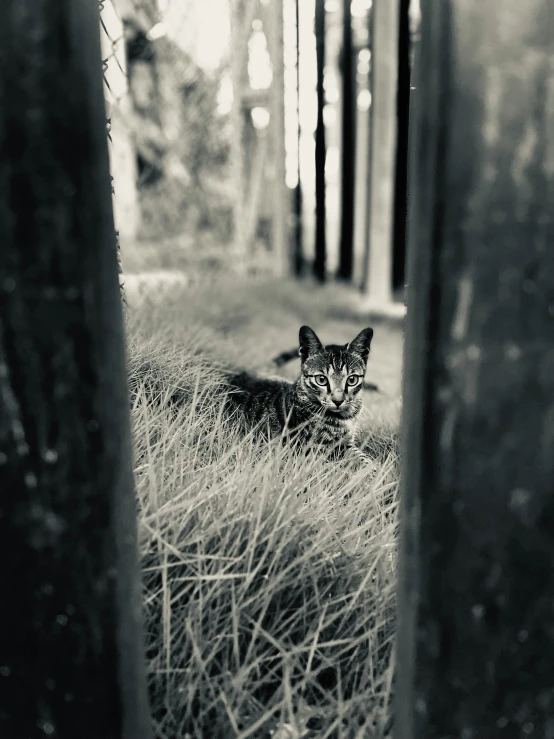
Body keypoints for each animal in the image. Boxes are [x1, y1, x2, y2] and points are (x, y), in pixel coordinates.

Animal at [222, 326, 374, 462]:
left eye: (352, 380)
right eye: (321, 380)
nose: (338, 401)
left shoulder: (347, 442)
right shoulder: (318, 449)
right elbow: (359, 460)